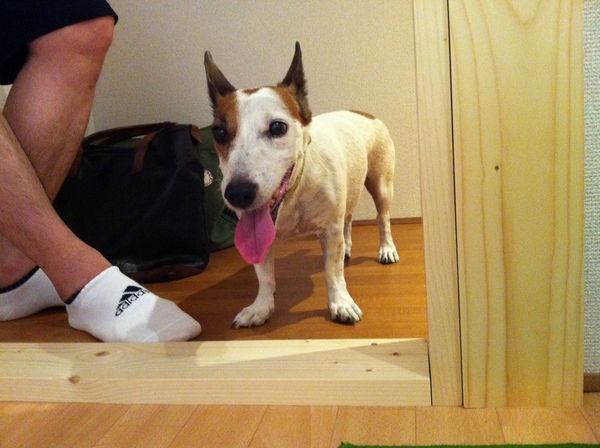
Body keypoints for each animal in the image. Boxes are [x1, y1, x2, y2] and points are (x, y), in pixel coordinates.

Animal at [204, 42, 399, 328]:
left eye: (277, 127)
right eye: (218, 132)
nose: (238, 194)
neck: (295, 189)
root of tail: (362, 112)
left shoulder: (329, 229)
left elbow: (333, 272)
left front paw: (340, 302)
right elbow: (264, 275)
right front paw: (261, 306)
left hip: (382, 186)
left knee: (382, 218)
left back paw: (386, 249)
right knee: (348, 218)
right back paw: (349, 246)